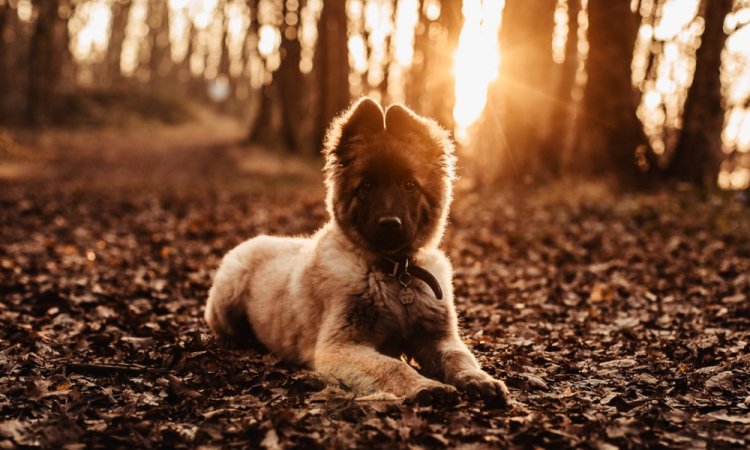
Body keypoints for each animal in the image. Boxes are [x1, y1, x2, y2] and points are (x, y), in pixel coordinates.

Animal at [206, 97, 512, 404]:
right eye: (366, 187)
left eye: (409, 185)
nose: (389, 224)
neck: (395, 272)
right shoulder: (339, 347)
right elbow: (394, 366)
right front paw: (425, 386)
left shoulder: (440, 336)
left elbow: (459, 356)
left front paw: (479, 378)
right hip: (227, 295)